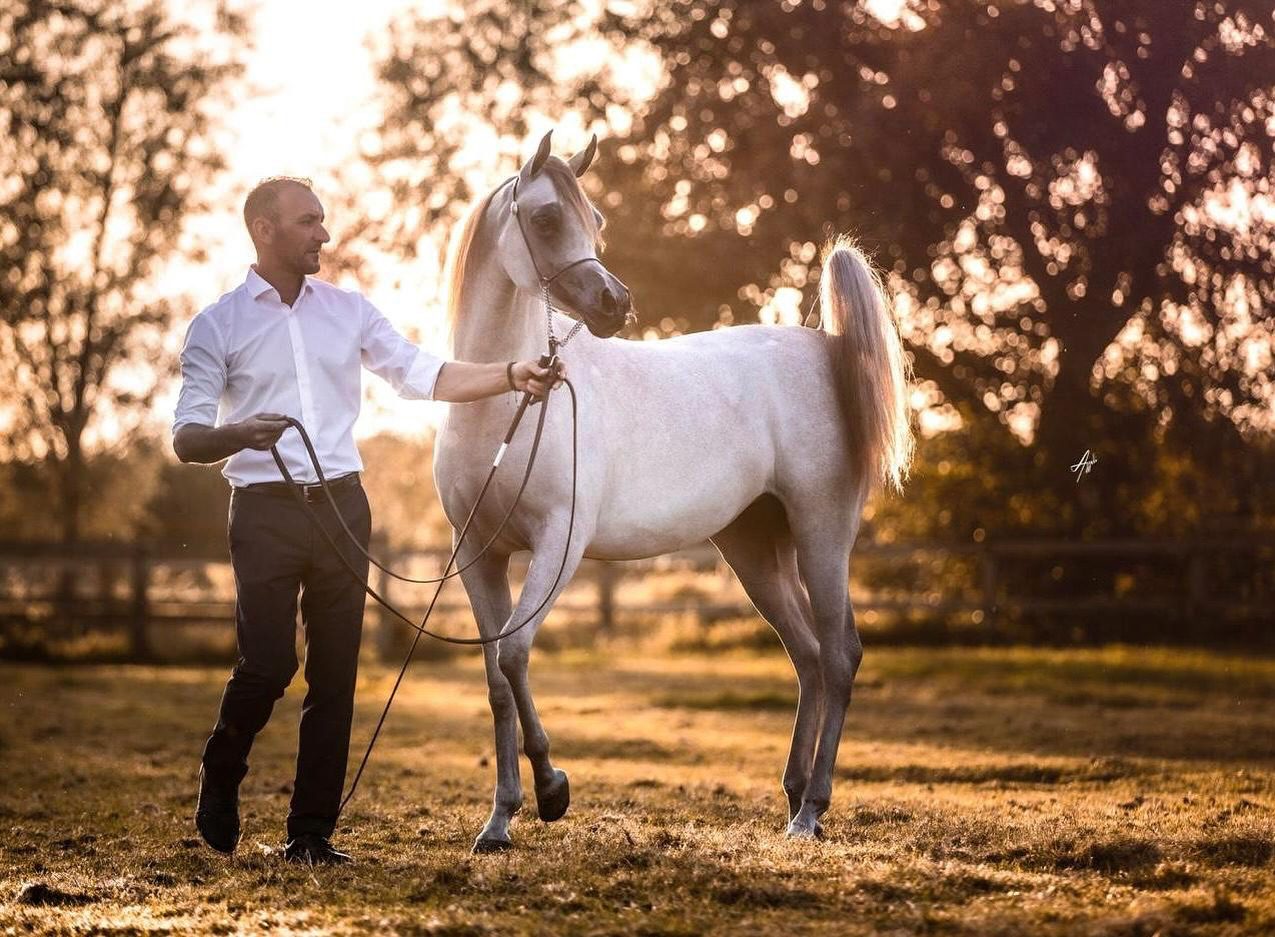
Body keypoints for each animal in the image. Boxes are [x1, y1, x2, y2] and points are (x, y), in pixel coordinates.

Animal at [433, 131, 912, 856]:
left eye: (596, 219)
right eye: (545, 218)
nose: (615, 304)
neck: (506, 403)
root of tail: (826, 348)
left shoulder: (557, 545)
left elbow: (515, 655)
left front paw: (552, 789)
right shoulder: (478, 557)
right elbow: (496, 678)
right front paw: (499, 821)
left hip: (822, 536)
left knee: (838, 655)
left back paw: (812, 810)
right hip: (752, 548)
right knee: (806, 655)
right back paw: (793, 795)